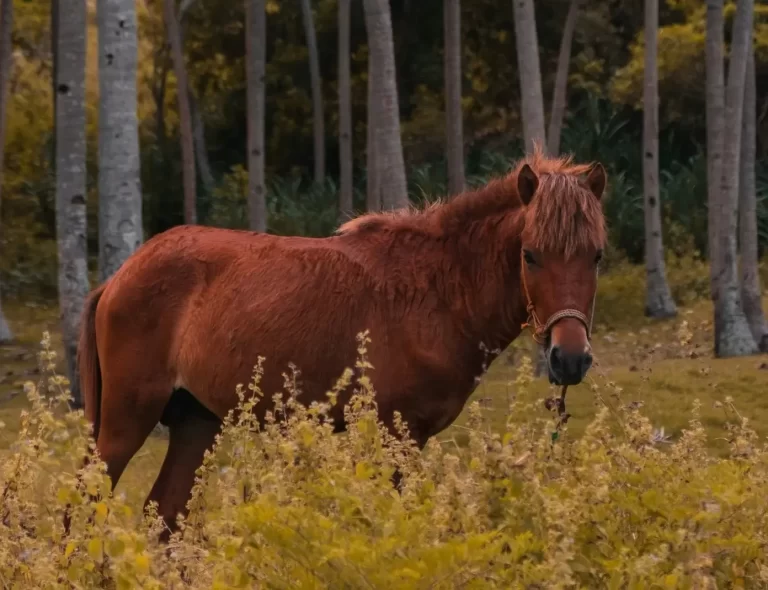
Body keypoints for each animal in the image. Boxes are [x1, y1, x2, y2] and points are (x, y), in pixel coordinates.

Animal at [75, 148, 607, 539]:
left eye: (596, 256)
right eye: (530, 255)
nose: (570, 359)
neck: (433, 292)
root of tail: (120, 277)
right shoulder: (395, 436)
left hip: (195, 421)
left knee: (164, 515)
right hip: (127, 419)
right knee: (85, 502)